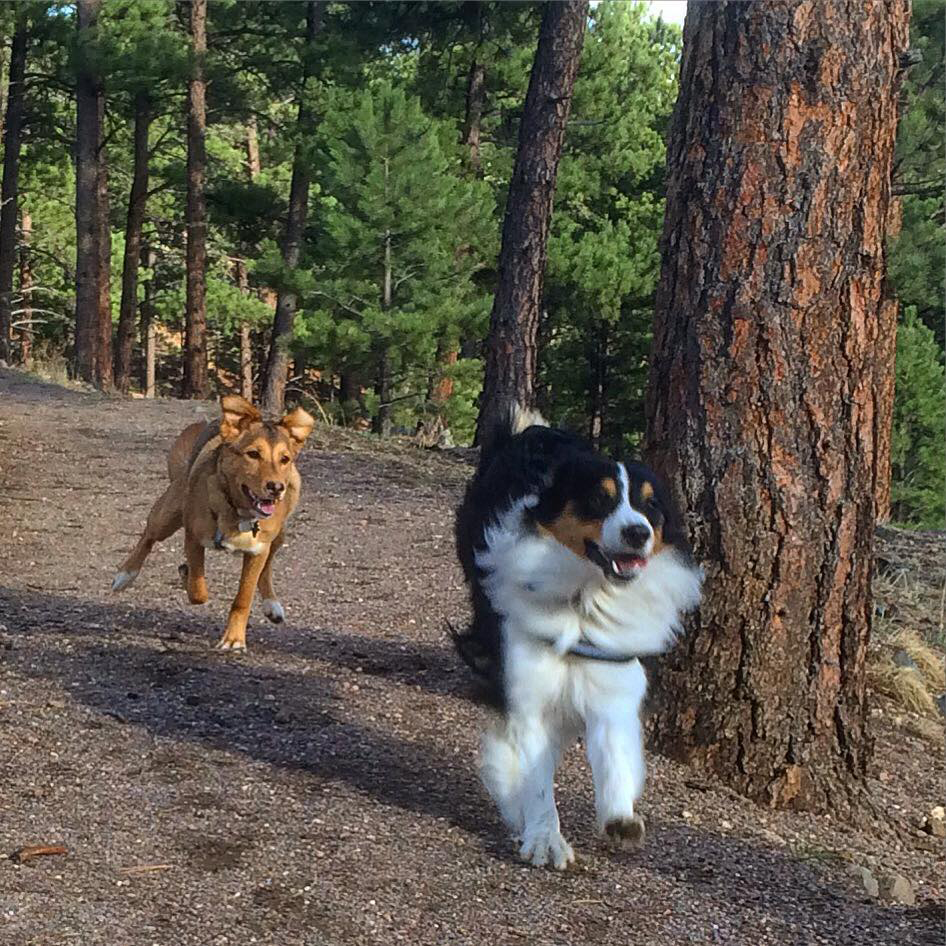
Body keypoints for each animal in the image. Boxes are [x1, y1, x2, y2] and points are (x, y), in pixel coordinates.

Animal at [112, 395, 315, 651]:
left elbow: (243, 597)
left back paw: (272, 604)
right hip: (168, 514)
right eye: (253, 454)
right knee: (149, 536)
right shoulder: (193, 537)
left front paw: (234, 639)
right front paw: (187, 575)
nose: (276, 487)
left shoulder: (258, 549)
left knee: (268, 564)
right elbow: (198, 590)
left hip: (279, 534)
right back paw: (125, 575)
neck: (238, 514)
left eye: (284, 459)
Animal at [453, 406, 702, 869]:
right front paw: (543, 835)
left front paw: (620, 817)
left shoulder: (613, 685)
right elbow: (534, 775)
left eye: (650, 504)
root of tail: (528, 431)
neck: (586, 598)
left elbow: (614, 756)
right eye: (600, 499)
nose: (638, 532)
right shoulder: (528, 691)